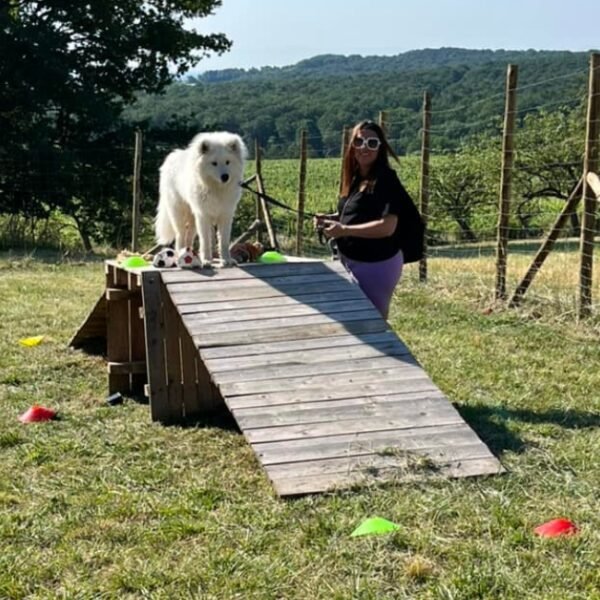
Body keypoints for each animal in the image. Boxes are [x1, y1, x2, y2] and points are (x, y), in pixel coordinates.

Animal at [157, 131, 248, 268]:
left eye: (227, 162)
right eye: (214, 163)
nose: (225, 177)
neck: (216, 188)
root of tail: (171, 157)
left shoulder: (225, 215)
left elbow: (224, 241)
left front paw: (227, 260)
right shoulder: (203, 215)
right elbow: (205, 241)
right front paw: (206, 260)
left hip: (193, 218)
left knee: (189, 237)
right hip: (179, 213)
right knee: (181, 235)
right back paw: (180, 256)